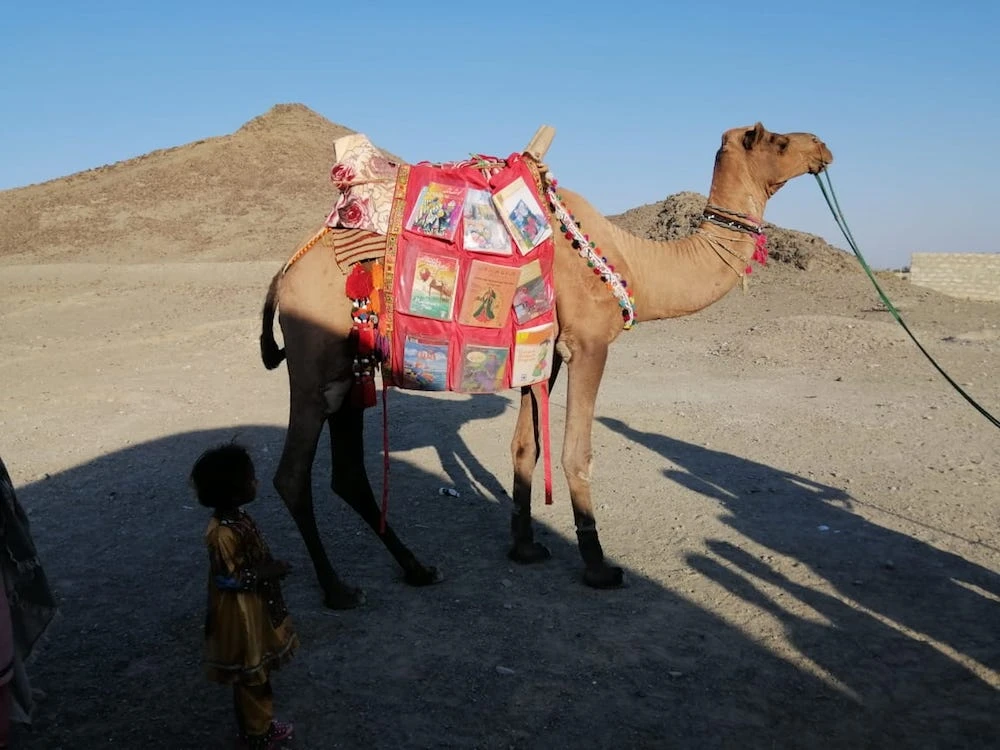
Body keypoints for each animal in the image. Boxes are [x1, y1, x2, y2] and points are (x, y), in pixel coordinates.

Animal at [259, 122, 833, 607]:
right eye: (779, 140)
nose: (822, 147)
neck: (631, 265)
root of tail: (284, 273)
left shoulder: (546, 350)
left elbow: (526, 446)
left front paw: (525, 547)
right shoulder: (590, 343)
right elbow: (576, 452)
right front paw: (598, 566)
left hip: (348, 363)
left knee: (347, 472)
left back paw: (417, 568)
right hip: (313, 361)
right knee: (291, 475)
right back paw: (338, 589)